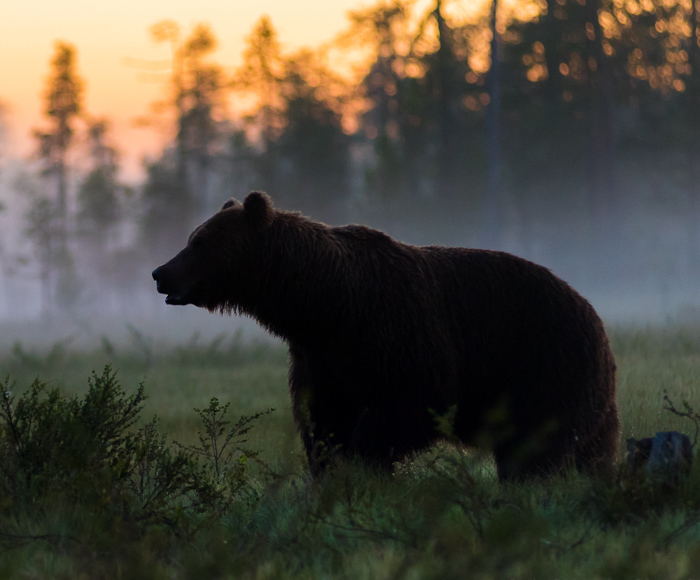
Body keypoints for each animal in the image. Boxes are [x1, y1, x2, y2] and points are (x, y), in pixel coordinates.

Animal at [152, 192, 619, 481]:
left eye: (201, 242)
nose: (160, 272)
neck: (324, 305)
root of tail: (596, 319)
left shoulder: (398, 337)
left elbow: (410, 403)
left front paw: (364, 463)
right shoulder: (322, 359)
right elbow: (324, 420)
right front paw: (331, 470)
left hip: (544, 365)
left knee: (540, 448)